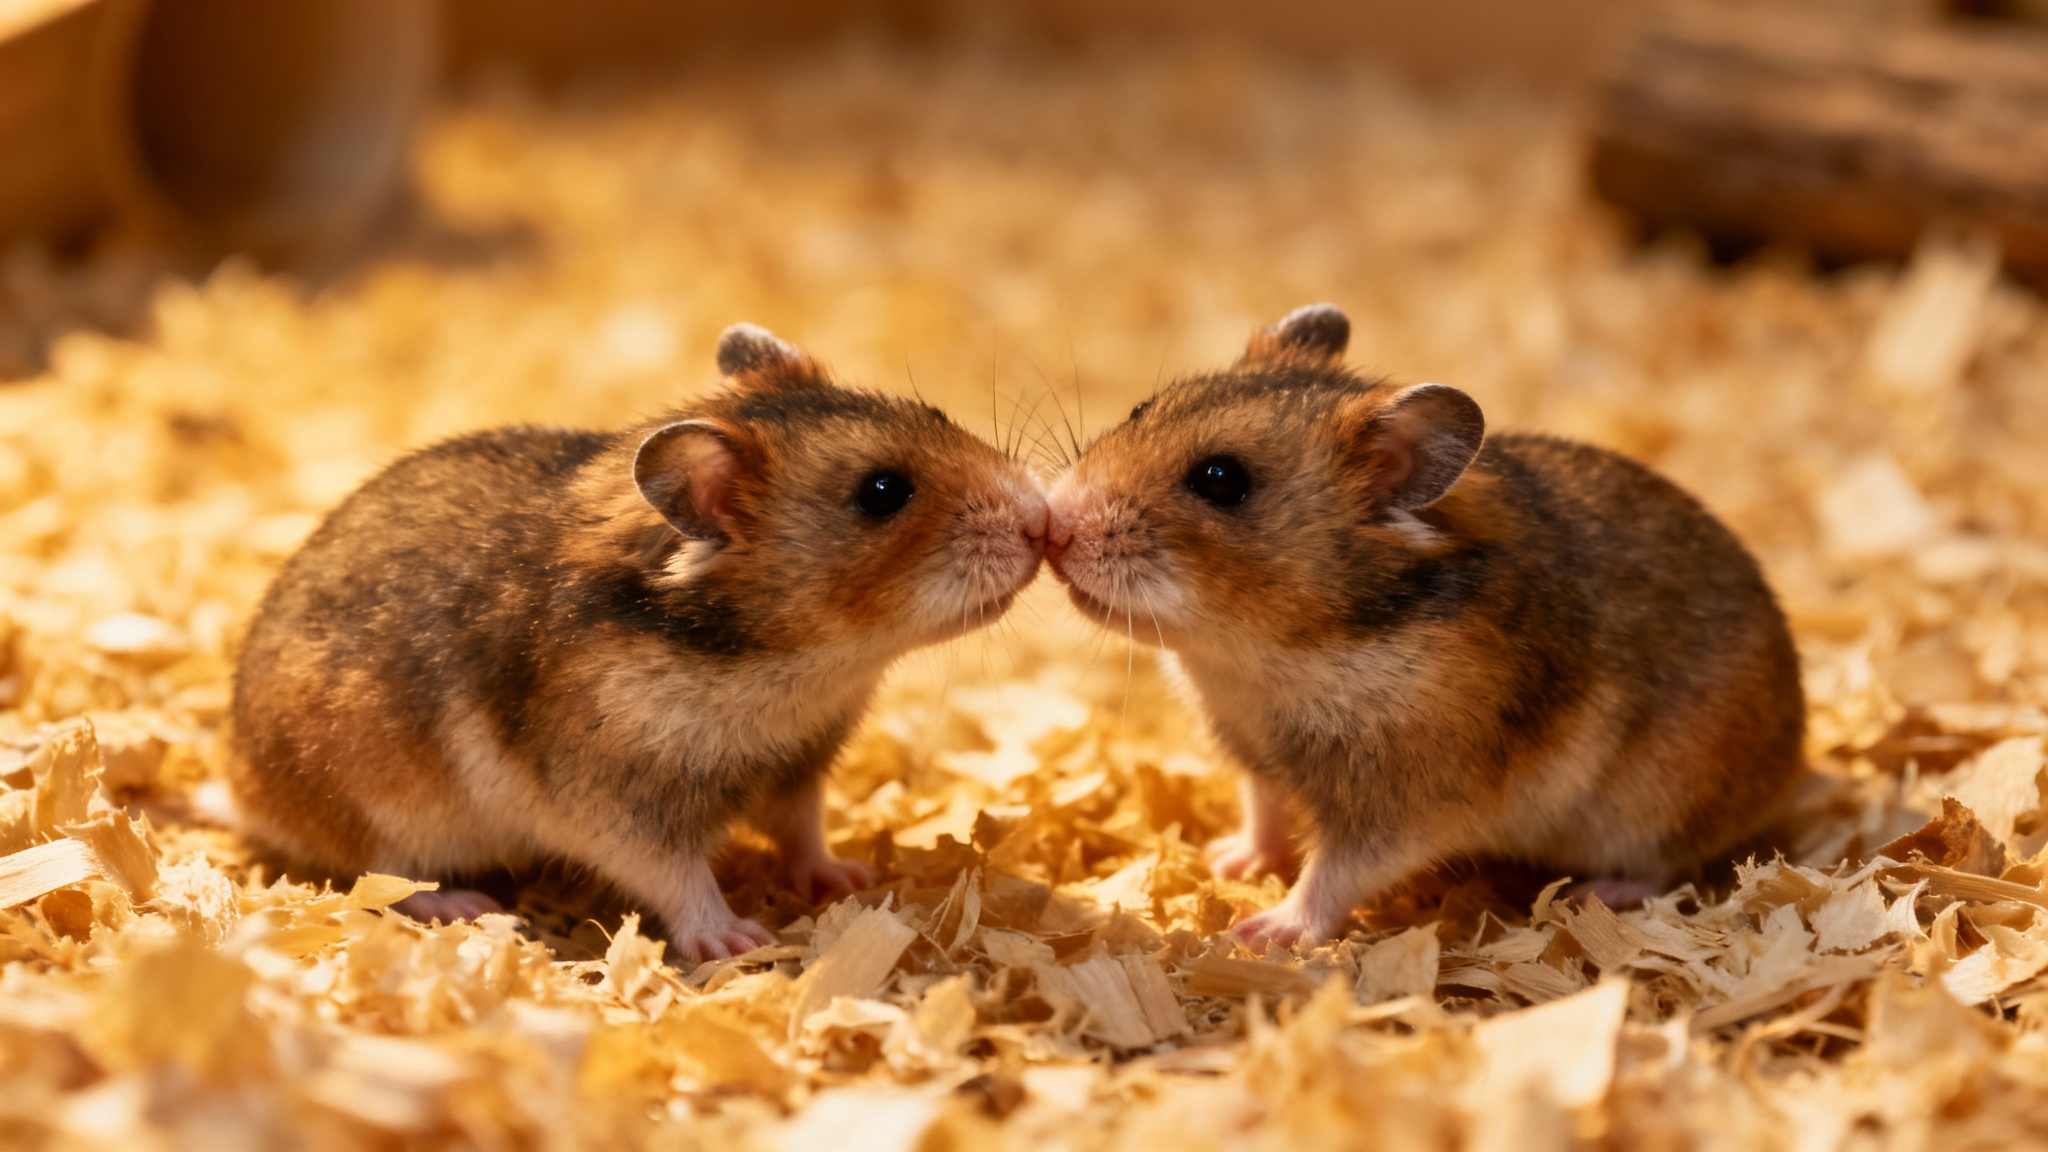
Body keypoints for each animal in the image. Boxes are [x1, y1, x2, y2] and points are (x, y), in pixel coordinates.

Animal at [229, 324, 1048, 961]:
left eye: (933, 411)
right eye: (882, 493)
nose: (1042, 518)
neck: (784, 661)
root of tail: (244, 787)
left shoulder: (798, 766)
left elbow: (802, 831)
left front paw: (847, 878)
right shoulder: (617, 804)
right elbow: (678, 878)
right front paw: (736, 941)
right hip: (376, 801)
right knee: (381, 877)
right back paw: (465, 906)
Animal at [1043, 304, 1803, 948]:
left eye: (1221, 479)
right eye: (1141, 408)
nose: (1053, 524)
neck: (1273, 653)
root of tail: (1791, 757)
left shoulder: (1403, 806)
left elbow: (1333, 874)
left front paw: (1262, 932)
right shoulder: (1259, 760)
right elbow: (1264, 812)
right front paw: (1224, 860)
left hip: (1656, 804)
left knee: (1659, 865)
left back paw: (1593, 894)